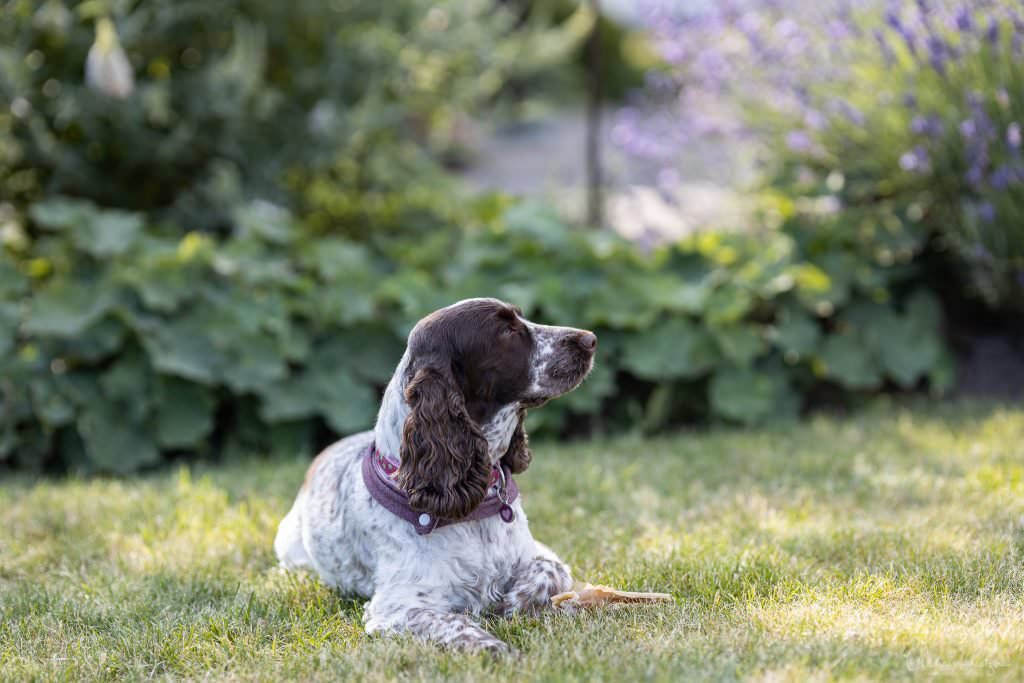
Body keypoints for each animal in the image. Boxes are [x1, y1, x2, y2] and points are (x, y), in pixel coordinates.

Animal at [272, 299, 598, 651]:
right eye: (506, 331)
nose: (590, 339)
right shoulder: (397, 606)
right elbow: (458, 625)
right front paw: (495, 647)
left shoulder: (540, 553)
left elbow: (550, 572)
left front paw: (512, 602)